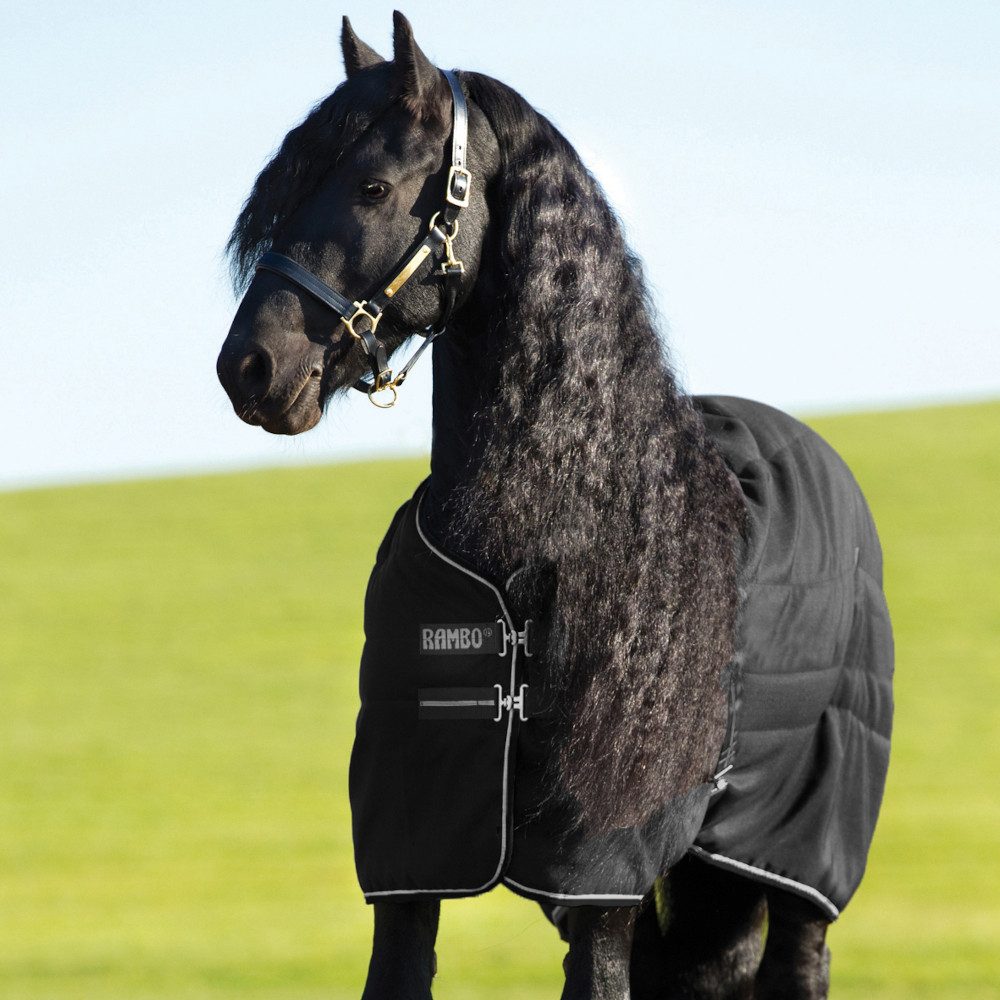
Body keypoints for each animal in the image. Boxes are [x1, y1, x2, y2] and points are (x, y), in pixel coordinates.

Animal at [216, 13, 894, 999]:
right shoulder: (412, 856)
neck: (560, 519)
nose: (250, 368)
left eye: (374, 185)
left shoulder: (601, 878)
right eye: (283, 188)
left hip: (801, 849)